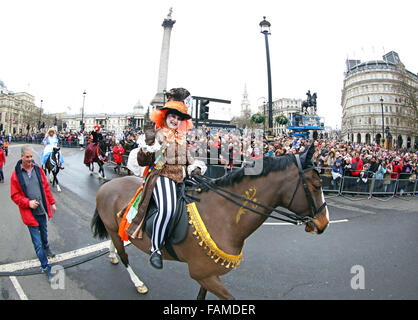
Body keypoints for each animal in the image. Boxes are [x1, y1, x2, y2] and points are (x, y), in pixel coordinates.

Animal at [90, 144, 330, 298]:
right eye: (317, 185)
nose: (324, 223)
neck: (224, 216)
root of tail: (108, 185)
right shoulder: (202, 274)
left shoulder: (207, 275)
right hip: (113, 227)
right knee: (125, 256)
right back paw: (137, 282)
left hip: (115, 229)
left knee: (115, 242)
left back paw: (111, 255)